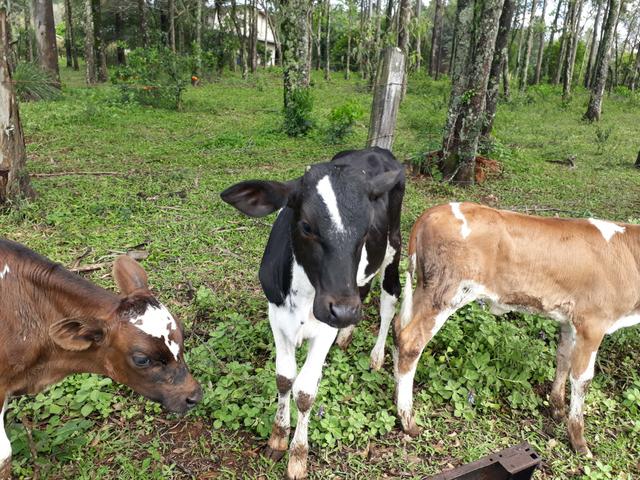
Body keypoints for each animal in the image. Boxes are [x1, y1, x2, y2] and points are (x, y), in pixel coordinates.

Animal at [222, 148, 404, 478]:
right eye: (306, 226)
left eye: (365, 230)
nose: (343, 312)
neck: (306, 296)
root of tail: (377, 150)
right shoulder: (276, 314)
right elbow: (284, 378)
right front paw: (278, 437)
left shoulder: (325, 327)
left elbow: (305, 392)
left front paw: (298, 456)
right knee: (363, 288)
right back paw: (348, 335)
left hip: (393, 245)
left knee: (389, 297)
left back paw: (376, 353)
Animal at [392, 202, 640, 458]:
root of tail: (432, 212)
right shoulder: (592, 323)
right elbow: (582, 379)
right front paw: (579, 442)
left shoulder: (569, 321)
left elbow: (563, 358)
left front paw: (557, 409)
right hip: (446, 292)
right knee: (411, 341)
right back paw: (408, 421)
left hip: (424, 289)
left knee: (397, 328)